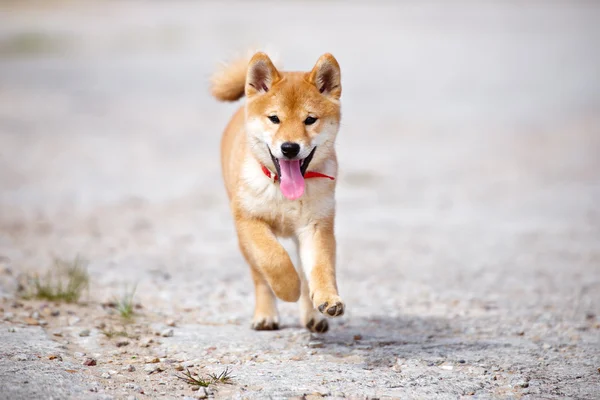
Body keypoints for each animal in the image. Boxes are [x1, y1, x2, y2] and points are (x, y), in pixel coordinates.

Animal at [211, 51, 344, 332]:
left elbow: (320, 268)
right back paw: (265, 315)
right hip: (243, 240)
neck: (283, 193)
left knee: (304, 272)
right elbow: (274, 259)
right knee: (260, 277)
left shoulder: (317, 226)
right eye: (274, 118)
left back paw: (313, 316)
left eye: (309, 119)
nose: (290, 148)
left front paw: (328, 299)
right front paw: (288, 289)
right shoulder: (250, 221)